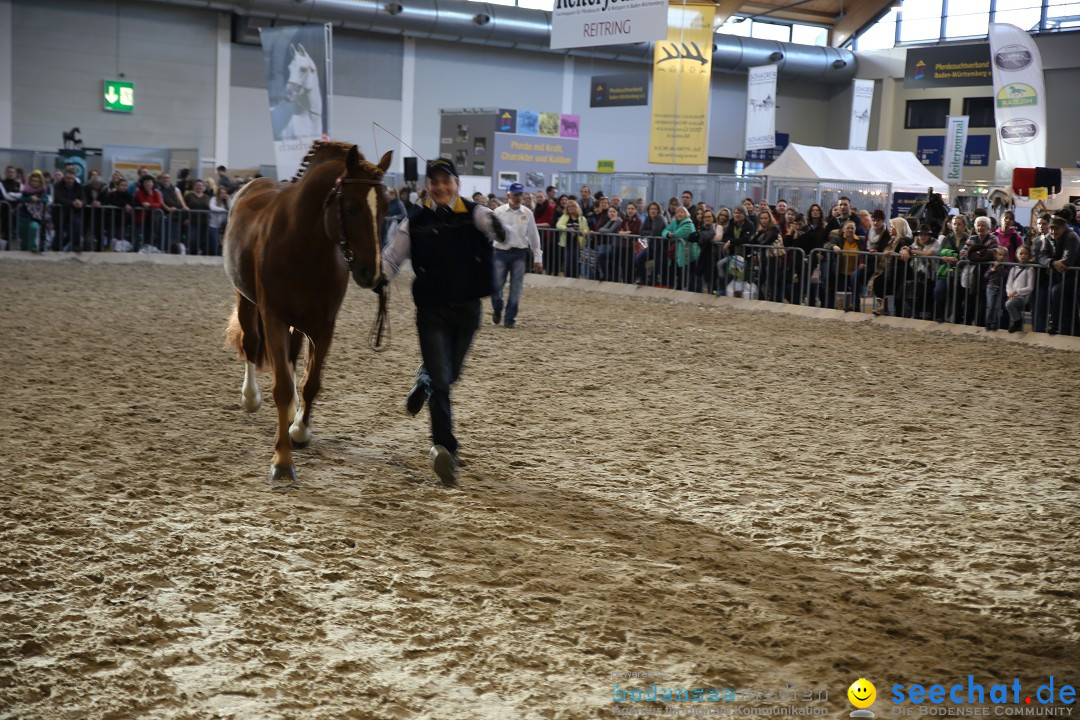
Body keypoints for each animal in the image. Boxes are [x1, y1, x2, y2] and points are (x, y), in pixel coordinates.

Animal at [223, 140, 393, 490]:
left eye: (385, 207)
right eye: (352, 207)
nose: (372, 274)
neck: (303, 244)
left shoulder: (323, 326)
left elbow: (310, 383)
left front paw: (300, 431)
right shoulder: (274, 318)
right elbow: (282, 387)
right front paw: (282, 463)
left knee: (291, 357)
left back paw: (291, 416)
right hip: (246, 301)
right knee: (251, 345)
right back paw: (250, 398)